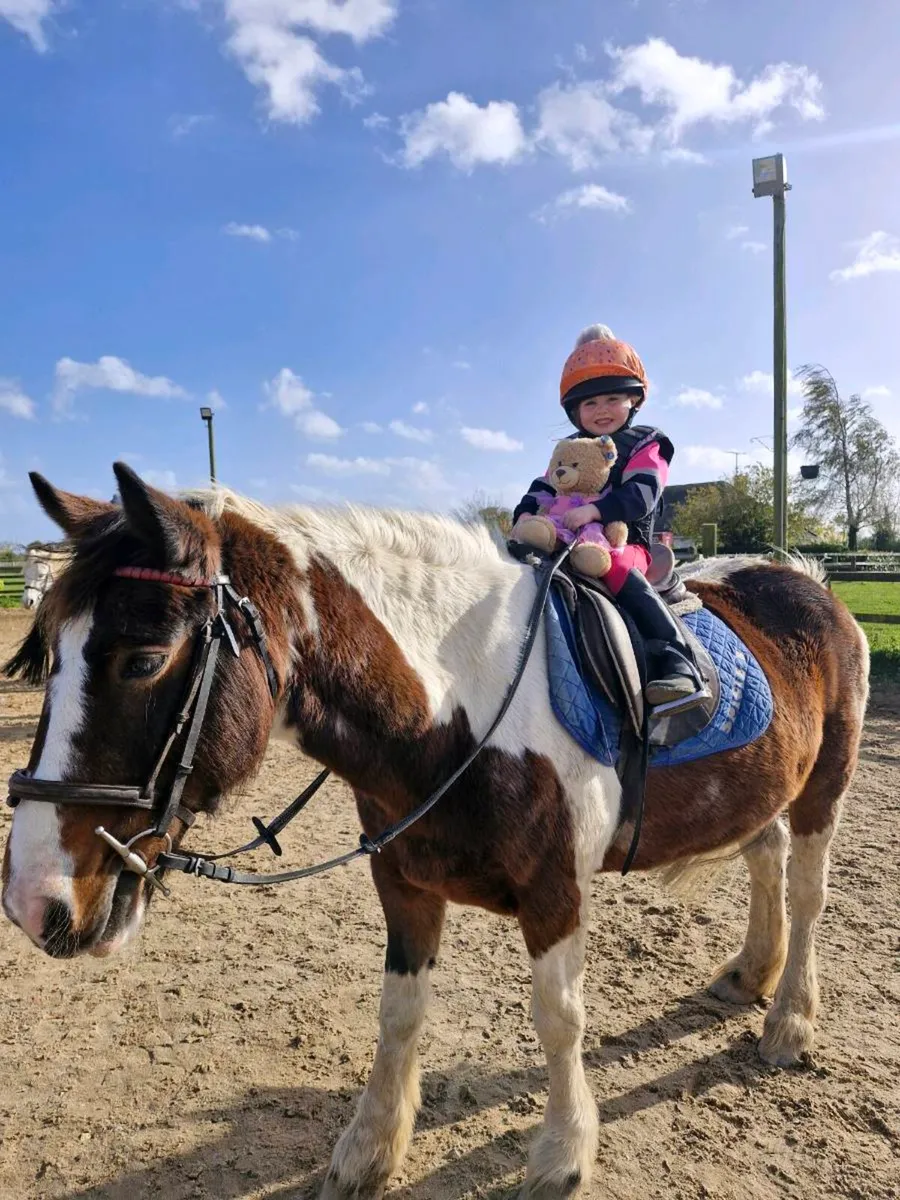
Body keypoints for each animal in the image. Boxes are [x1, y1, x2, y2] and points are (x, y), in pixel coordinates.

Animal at [2, 464, 869, 1200]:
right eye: (49, 655)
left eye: (144, 660)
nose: (33, 901)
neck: (461, 707)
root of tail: (806, 579)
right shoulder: (403, 879)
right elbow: (398, 1013)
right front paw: (369, 1150)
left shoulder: (556, 892)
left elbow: (560, 1019)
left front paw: (562, 1154)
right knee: (766, 856)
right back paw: (752, 973)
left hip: (826, 783)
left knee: (809, 891)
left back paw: (790, 1021)